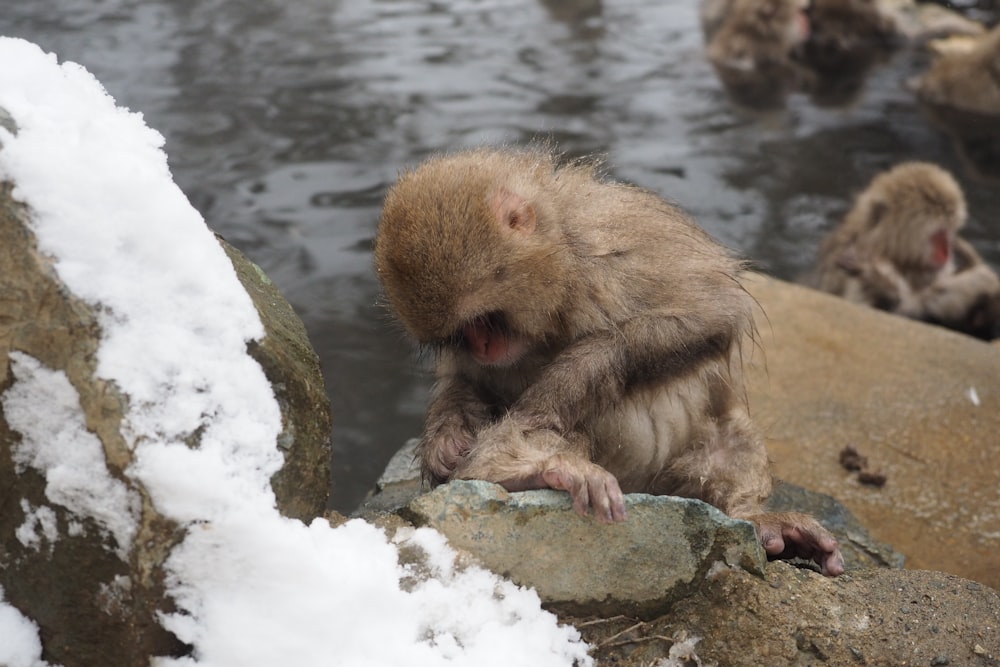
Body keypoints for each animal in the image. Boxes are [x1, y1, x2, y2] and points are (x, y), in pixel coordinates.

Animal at [376, 149, 844, 576]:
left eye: (486, 320)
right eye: (462, 334)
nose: (484, 347)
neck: (562, 268)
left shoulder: (613, 252)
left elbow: (709, 314)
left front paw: (567, 379)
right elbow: (467, 382)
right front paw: (446, 439)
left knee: (729, 435)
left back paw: (755, 519)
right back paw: (532, 472)